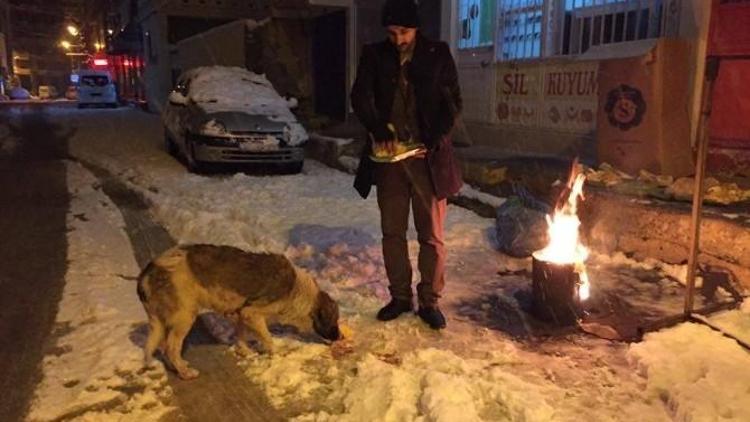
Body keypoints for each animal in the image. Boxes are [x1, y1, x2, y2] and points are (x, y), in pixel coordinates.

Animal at [137, 244, 342, 380]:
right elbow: (268, 338)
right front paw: (275, 353)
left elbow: (241, 334)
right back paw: (185, 372)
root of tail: (150, 269)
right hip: (185, 315)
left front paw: (245, 352)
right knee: (171, 347)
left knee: (164, 346)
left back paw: (175, 367)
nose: (340, 337)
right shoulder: (252, 313)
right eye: (334, 321)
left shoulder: (241, 313)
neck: (297, 291)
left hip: (165, 319)